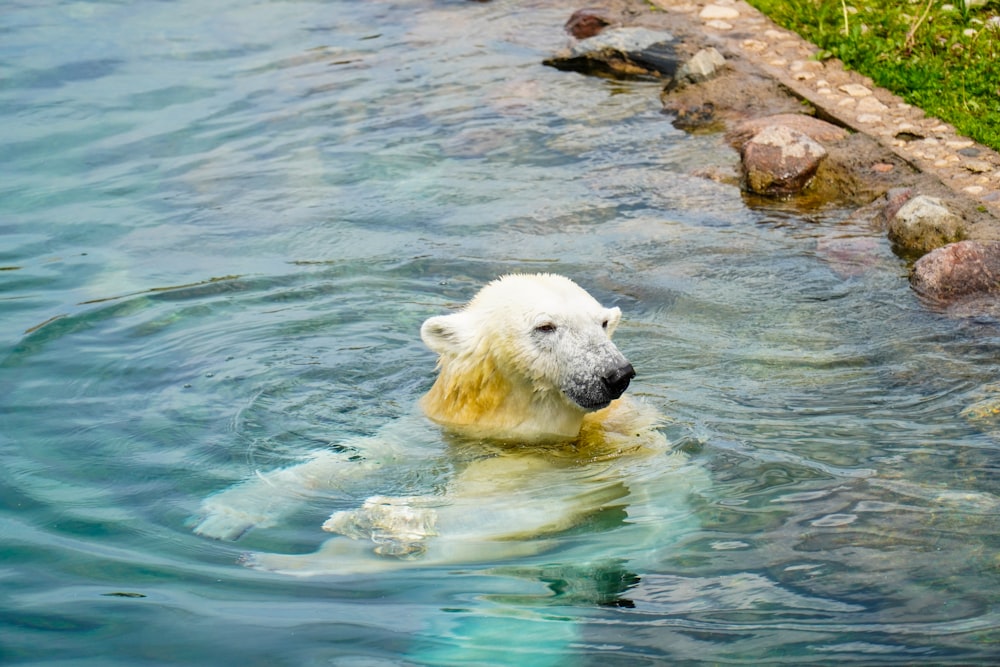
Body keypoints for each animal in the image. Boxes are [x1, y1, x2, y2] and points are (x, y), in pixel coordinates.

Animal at [195, 274, 696, 576]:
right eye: (546, 326)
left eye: (602, 323)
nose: (616, 373)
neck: (509, 419)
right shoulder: (443, 423)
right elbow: (361, 454)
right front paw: (222, 515)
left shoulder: (580, 453)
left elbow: (514, 491)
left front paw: (388, 520)